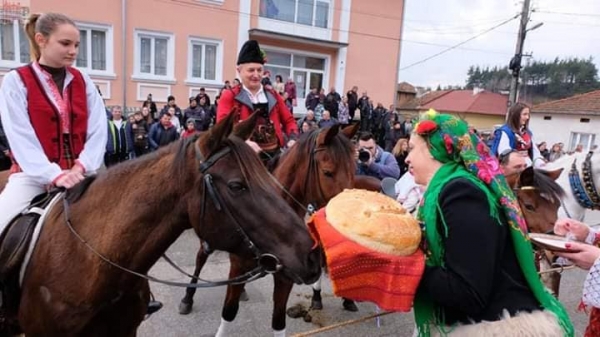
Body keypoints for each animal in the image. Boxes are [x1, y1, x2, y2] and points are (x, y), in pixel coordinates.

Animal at [176, 122, 358, 334]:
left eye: (353, 170)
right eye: (327, 172)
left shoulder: (286, 277)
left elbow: (278, 321)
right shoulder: (237, 266)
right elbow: (229, 311)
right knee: (200, 259)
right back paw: (187, 298)